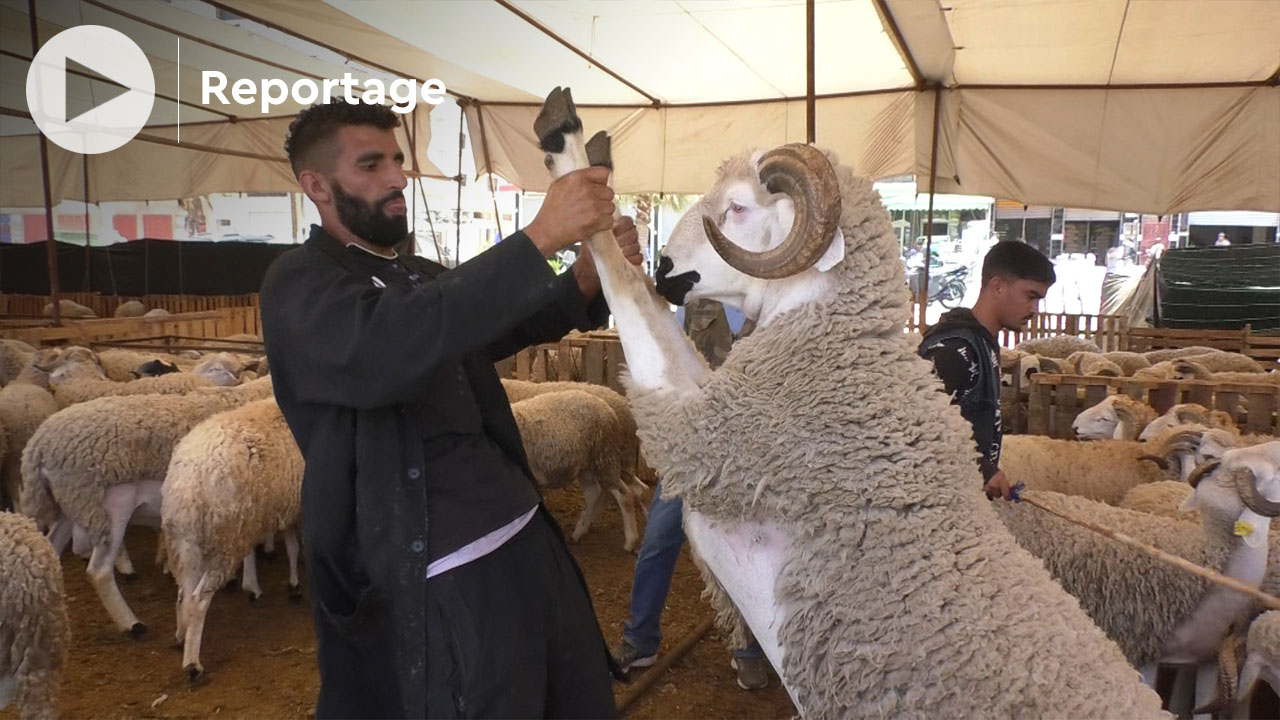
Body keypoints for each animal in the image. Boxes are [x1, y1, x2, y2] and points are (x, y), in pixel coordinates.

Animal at [20, 376, 276, 632]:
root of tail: (38, 446)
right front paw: (251, 585)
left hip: (69, 505)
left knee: (52, 546)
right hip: (108, 508)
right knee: (99, 571)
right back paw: (131, 623)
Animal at [163, 394, 303, 681]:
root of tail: (187, 483)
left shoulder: (284, 506)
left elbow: (292, 546)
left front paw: (290, 583)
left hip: (186, 542)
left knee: (183, 592)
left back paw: (182, 636)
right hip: (222, 542)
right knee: (198, 599)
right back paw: (192, 664)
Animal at [506, 386, 645, 548]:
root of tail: (607, 407)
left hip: (605, 456)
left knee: (624, 495)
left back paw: (630, 541)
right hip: (588, 466)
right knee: (596, 492)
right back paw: (579, 531)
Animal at [540, 87, 1172, 712]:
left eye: (738, 208)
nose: (667, 270)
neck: (842, 354)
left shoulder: (712, 446)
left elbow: (627, 292)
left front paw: (567, 144)